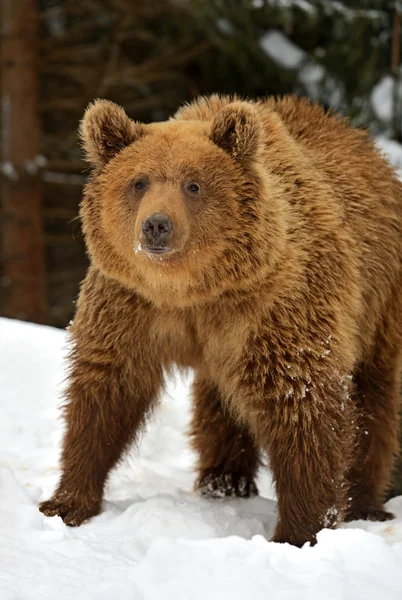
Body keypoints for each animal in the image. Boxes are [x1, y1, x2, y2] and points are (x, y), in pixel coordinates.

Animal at [39, 95, 402, 548]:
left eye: (193, 184)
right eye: (139, 182)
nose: (157, 225)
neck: (194, 291)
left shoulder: (278, 308)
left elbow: (303, 407)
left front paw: (299, 532)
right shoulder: (132, 305)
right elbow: (105, 392)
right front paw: (66, 502)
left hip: (380, 303)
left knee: (373, 402)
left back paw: (366, 503)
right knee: (219, 403)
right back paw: (223, 480)